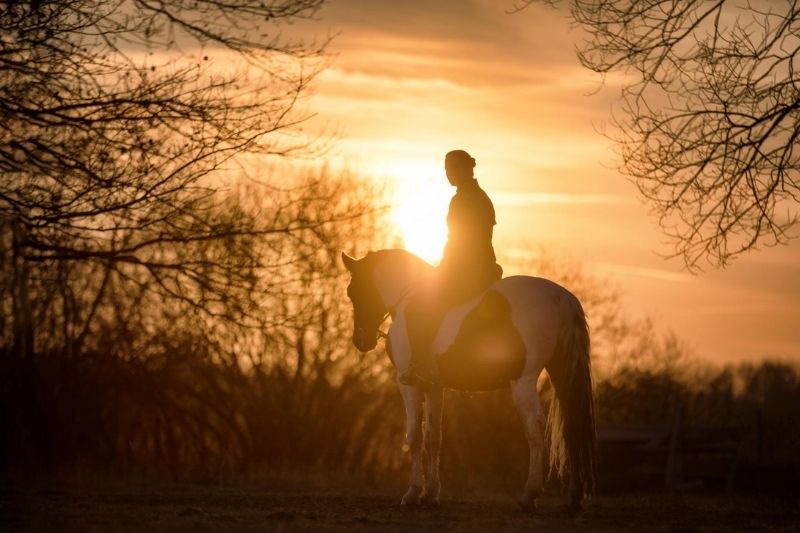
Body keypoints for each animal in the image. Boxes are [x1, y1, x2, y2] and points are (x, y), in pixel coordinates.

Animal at [340, 249, 596, 512]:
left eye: (352, 291)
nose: (361, 340)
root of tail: (561, 298)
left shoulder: (408, 385)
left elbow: (414, 436)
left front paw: (412, 492)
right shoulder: (434, 387)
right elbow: (434, 438)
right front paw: (430, 494)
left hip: (523, 380)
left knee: (535, 428)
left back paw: (530, 494)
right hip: (561, 375)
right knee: (572, 425)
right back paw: (574, 496)